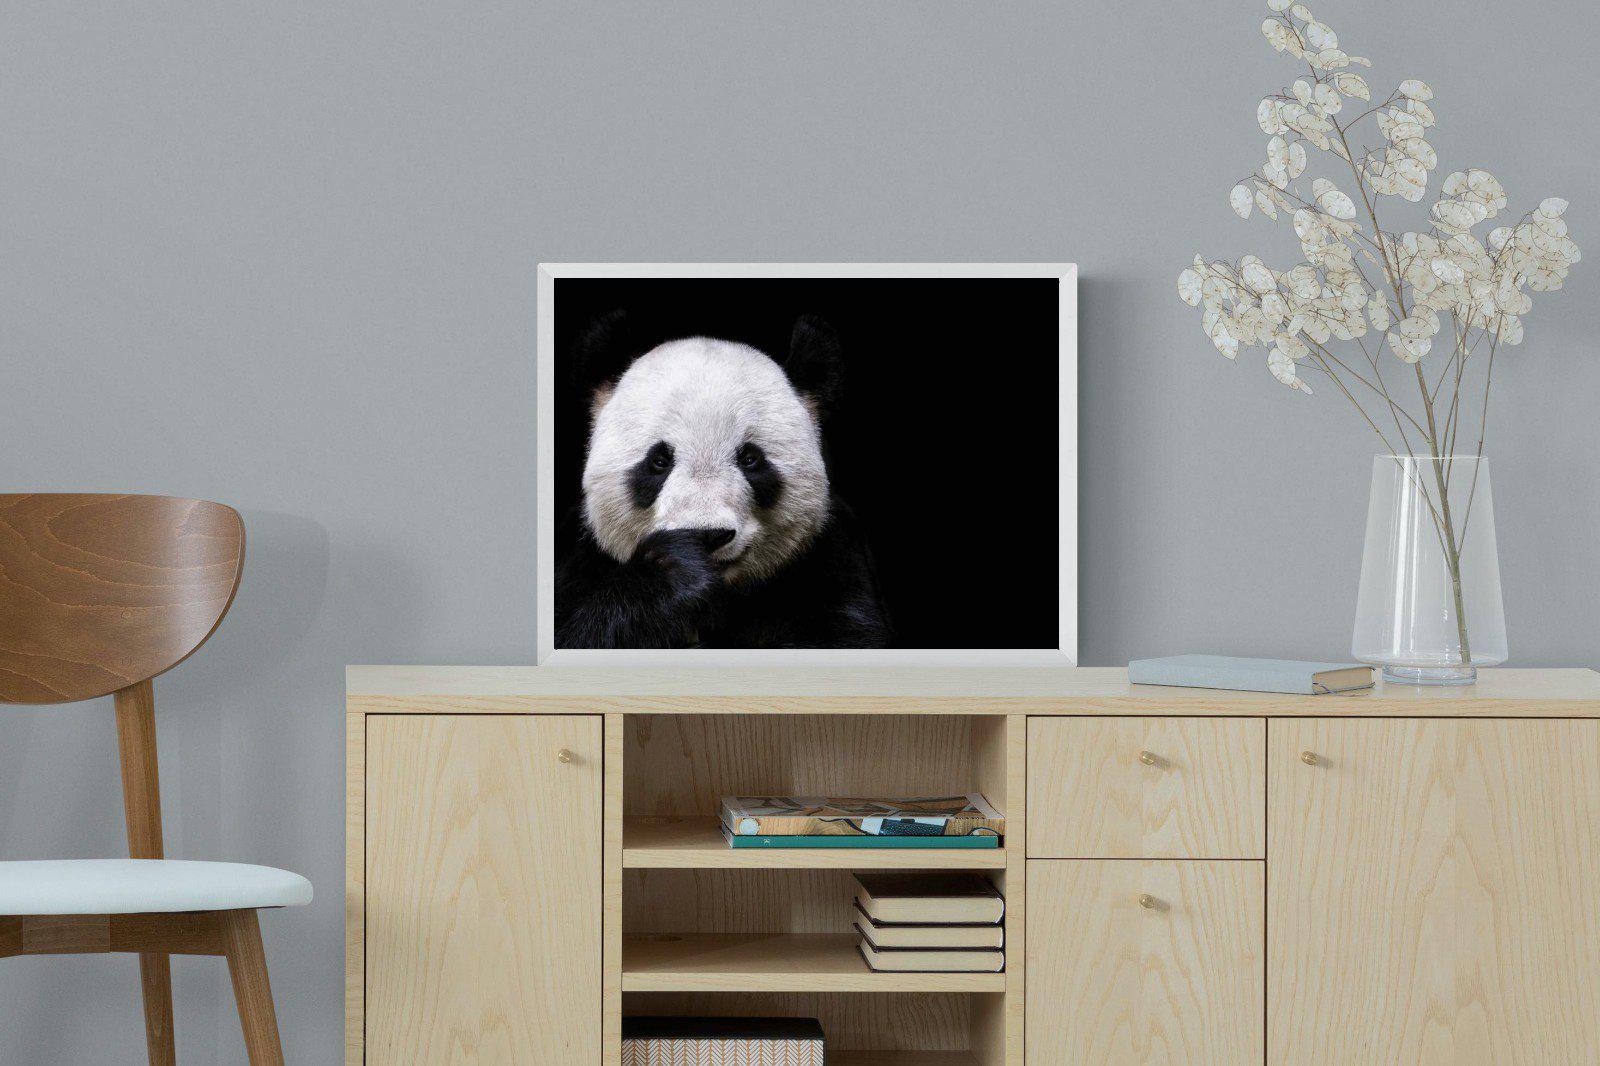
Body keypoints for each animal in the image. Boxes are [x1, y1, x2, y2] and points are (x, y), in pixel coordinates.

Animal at [555, 310, 891, 649]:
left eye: (750, 459)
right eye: (659, 461)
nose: (708, 534)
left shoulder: (832, 558)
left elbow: (844, 635)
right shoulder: (578, 558)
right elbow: (578, 631)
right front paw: (676, 569)